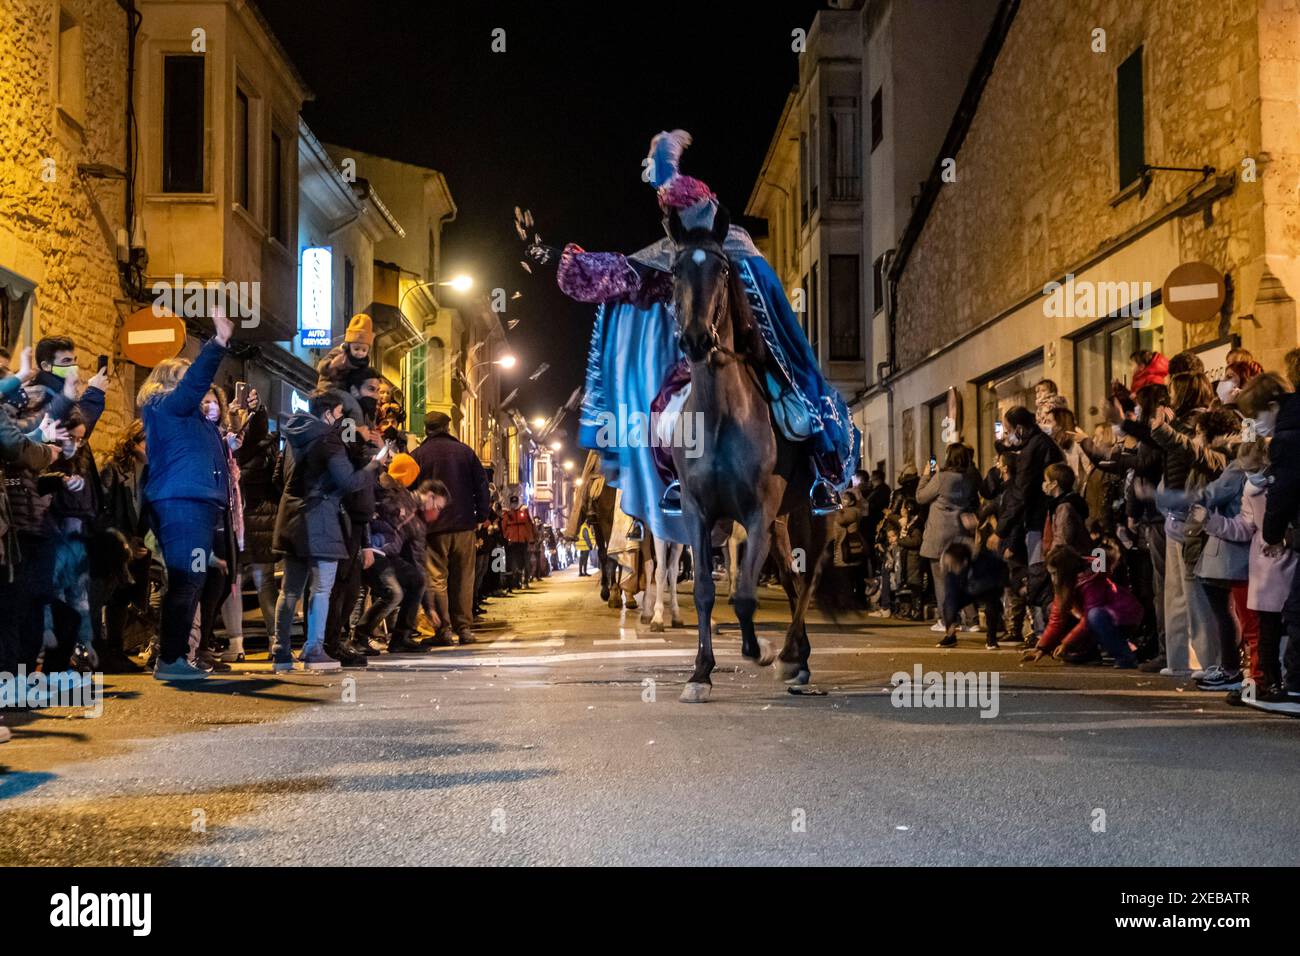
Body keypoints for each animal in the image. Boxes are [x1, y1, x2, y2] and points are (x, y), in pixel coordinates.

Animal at [670, 208, 832, 702]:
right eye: (675, 271)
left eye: (722, 269)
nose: (696, 340)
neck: (720, 419)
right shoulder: (697, 512)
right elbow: (705, 590)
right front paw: (700, 673)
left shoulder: (758, 510)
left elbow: (743, 595)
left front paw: (759, 649)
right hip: (780, 523)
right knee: (792, 578)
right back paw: (798, 655)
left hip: (812, 516)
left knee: (809, 578)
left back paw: (791, 656)